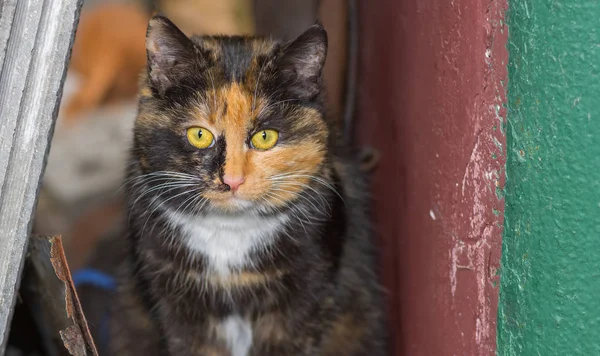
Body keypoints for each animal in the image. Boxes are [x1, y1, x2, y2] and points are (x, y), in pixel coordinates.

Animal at [109, 14, 386, 356]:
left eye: (265, 136)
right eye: (199, 135)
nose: (232, 179)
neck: (229, 234)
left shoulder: (305, 292)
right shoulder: (173, 298)